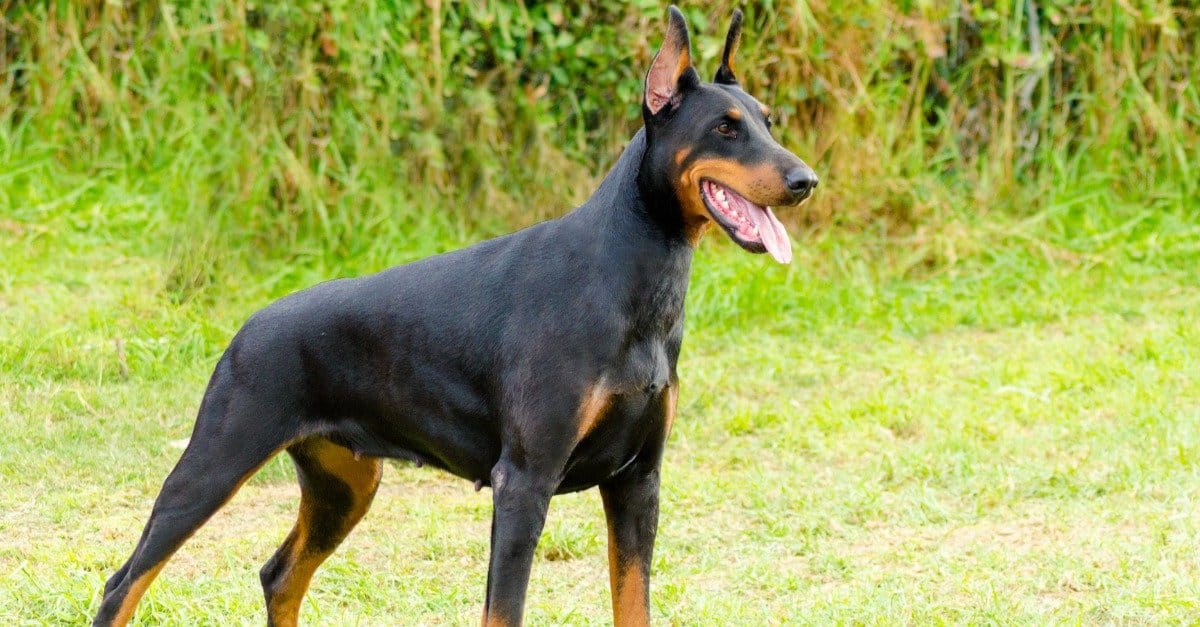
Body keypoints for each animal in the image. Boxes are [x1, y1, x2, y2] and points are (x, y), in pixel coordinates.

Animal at [96, 6, 816, 624]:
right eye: (725, 127)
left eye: (768, 121)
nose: (805, 180)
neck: (634, 282)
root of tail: (247, 327)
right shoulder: (523, 482)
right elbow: (504, 609)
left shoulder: (639, 480)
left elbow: (632, 602)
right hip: (215, 461)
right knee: (123, 581)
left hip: (343, 485)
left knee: (279, 575)